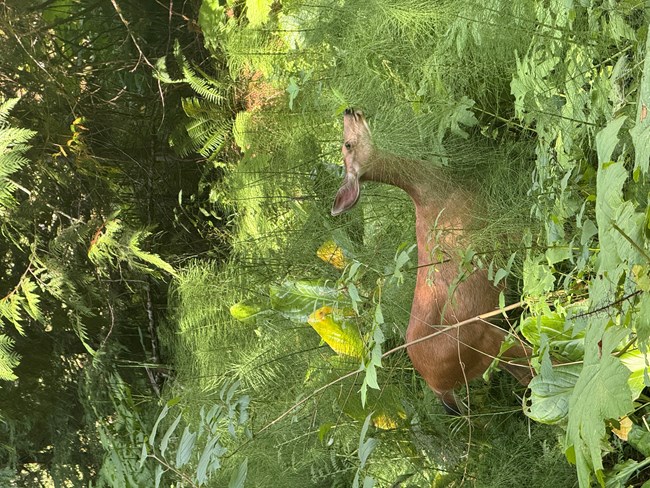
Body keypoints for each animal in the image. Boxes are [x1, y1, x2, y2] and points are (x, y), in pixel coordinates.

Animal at [331, 108, 532, 414]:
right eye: (348, 144)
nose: (348, 111)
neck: (434, 193)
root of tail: (437, 387)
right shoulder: (492, 226)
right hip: (483, 339)